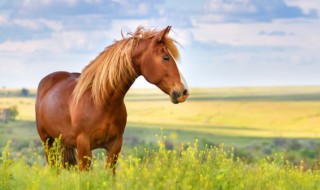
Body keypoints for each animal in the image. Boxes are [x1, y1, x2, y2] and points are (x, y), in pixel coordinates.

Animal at [35, 26, 189, 173]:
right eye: (166, 57)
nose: (184, 91)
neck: (101, 102)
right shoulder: (84, 147)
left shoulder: (114, 147)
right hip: (48, 142)